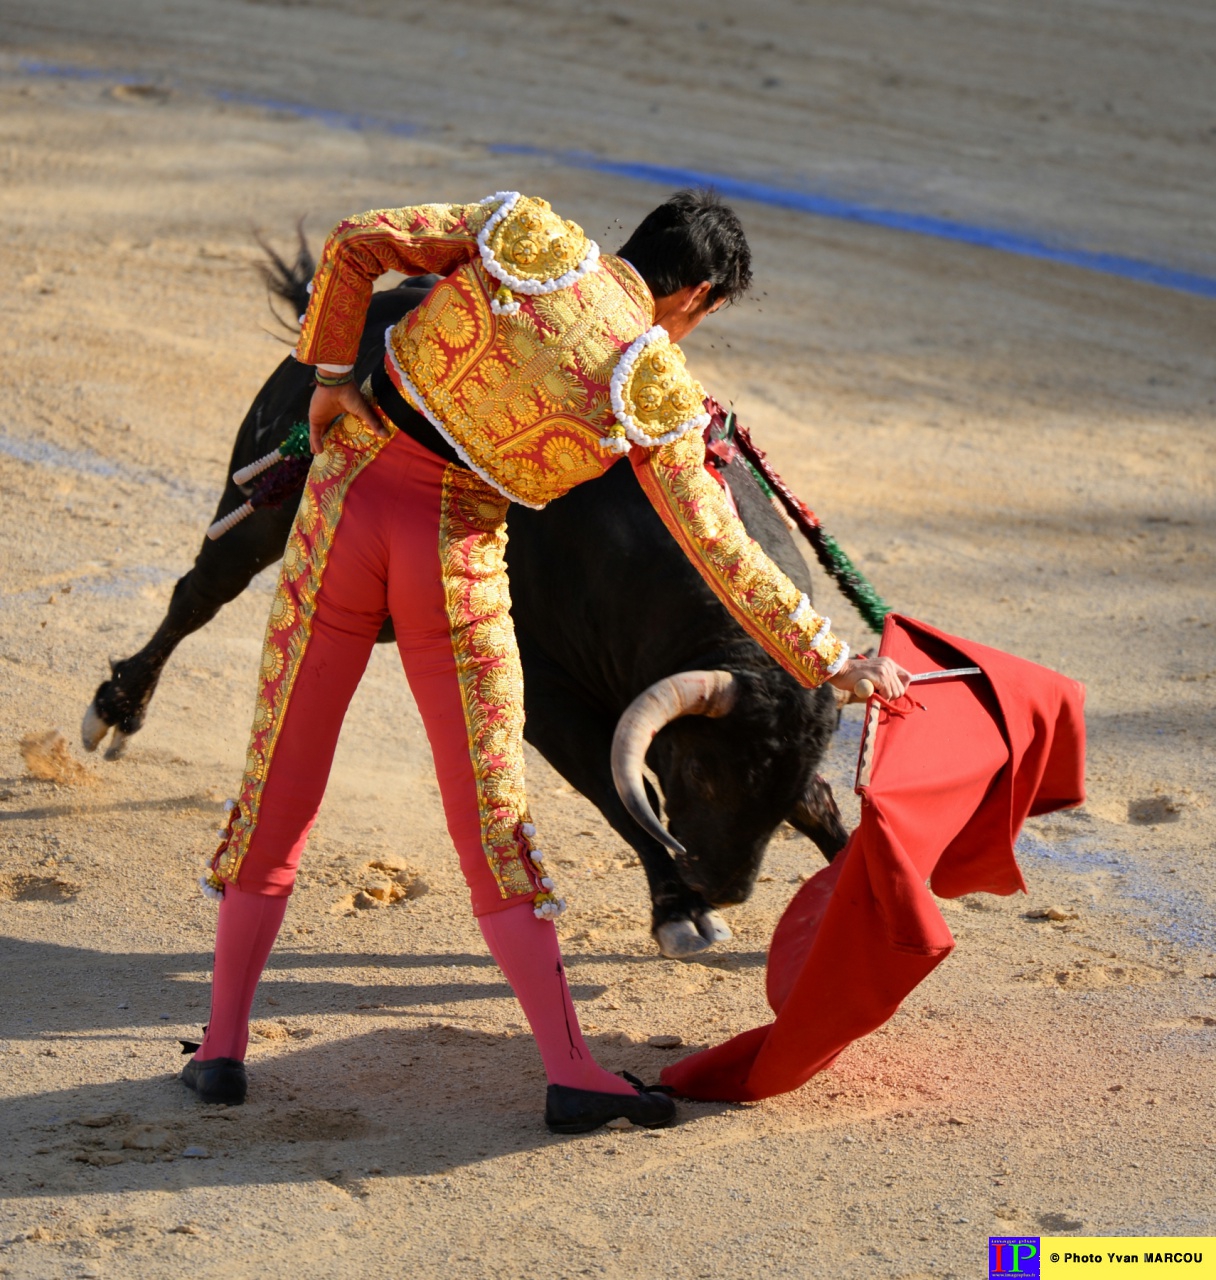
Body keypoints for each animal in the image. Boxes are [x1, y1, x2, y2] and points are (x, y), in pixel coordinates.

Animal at [85, 280, 844, 962]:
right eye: (704, 771)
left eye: (787, 783)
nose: (724, 888)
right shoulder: (545, 692)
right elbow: (615, 792)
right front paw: (679, 913)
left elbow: (823, 811)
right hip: (258, 516)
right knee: (199, 594)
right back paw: (117, 710)